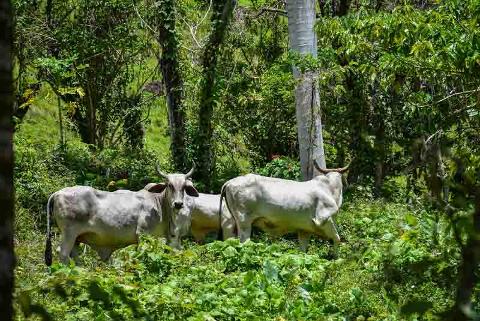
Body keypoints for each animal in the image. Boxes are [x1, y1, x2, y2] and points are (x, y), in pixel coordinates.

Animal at [46, 164, 200, 264]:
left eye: (184, 187)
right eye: (169, 185)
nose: (178, 204)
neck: (159, 203)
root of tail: (58, 193)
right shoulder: (143, 234)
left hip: (77, 238)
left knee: (74, 255)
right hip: (69, 233)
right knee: (62, 253)